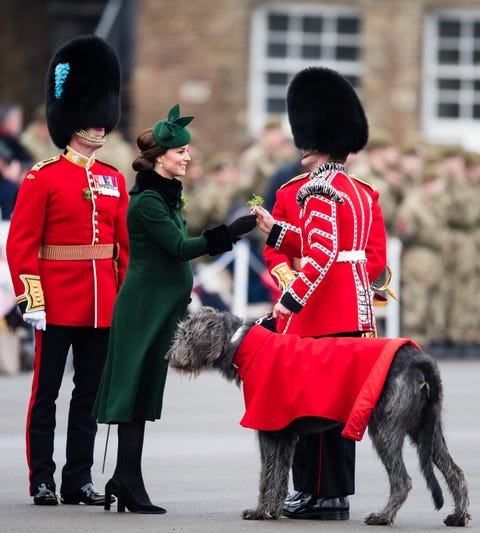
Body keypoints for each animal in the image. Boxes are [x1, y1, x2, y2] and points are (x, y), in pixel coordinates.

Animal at [167, 306, 470, 524]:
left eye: (185, 335)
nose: (168, 358)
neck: (241, 343)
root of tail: (420, 360)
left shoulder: (268, 428)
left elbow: (266, 474)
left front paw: (259, 511)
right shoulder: (285, 433)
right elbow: (279, 476)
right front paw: (272, 510)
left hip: (385, 428)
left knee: (402, 480)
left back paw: (383, 516)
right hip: (426, 428)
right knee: (455, 471)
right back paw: (459, 516)